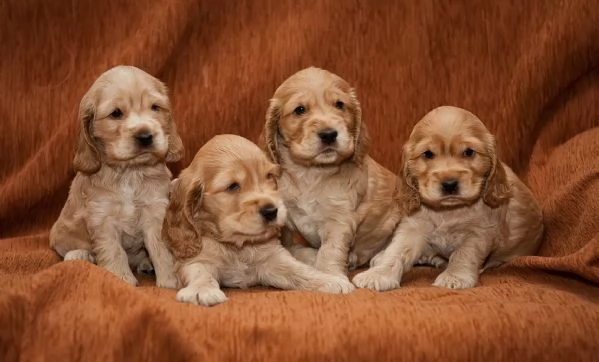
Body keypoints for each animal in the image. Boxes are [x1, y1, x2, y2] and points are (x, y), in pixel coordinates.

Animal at [49, 63, 183, 288]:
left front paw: (170, 281)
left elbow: (160, 249)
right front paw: (120, 278)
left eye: (155, 107)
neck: (130, 173)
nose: (145, 136)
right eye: (115, 113)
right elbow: (114, 251)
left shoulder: (155, 211)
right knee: (67, 248)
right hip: (59, 232)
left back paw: (146, 264)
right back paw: (79, 255)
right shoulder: (102, 218)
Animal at [163, 134, 356, 306]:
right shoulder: (196, 258)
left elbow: (299, 271)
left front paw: (330, 280)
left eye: (269, 176)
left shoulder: (273, 258)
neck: (237, 246)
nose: (272, 211)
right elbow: (199, 272)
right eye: (233, 186)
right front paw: (202, 290)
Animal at [262, 67, 404, 282]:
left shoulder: (339, 218)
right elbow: (288, 245)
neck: (310, 173)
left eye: (340, 105)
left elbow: (330, 249)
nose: (329, 134)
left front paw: (330, 275)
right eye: (300, 110)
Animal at [354, 106, 548, 290]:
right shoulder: (414, 225)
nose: (449, 184)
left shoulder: (480, 232)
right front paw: (378, 275)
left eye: (469, 152)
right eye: (428, 154)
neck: (448, 211)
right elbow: (397, 250)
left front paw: (455, 277)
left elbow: (463, 254)